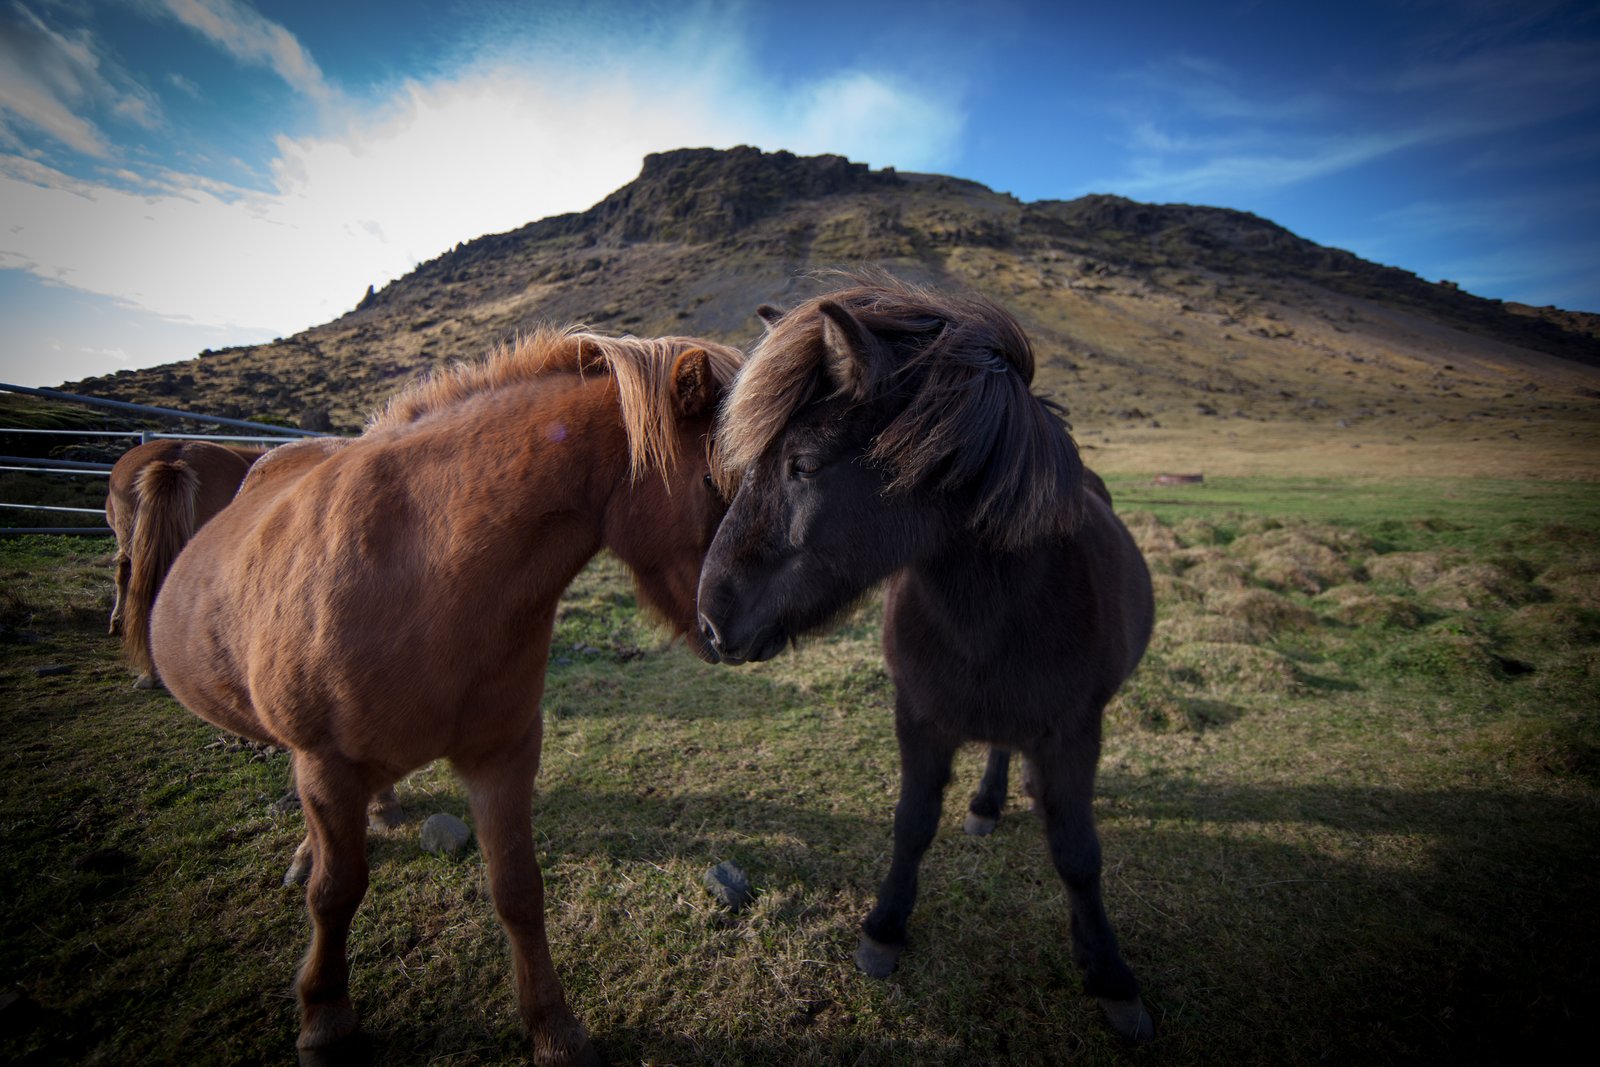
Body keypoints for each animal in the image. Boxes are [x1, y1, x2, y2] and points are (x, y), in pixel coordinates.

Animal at [150, 327, 742, 1065]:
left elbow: (518, 889)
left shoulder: (504, 756)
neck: (426, 571)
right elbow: (335, 893)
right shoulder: (326, 764)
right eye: (713, 480)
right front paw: (325, 1018)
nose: (739, 629)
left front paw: (553, 1027)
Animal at [695, 276, 1157, 1042]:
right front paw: (883, 930)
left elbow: (1078, 855)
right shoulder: (918, 718)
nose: (710, 617)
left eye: (803, 464)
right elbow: (911, 825)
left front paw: (1112, 977)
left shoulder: (1073, 733)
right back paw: (988, 803)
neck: (992, 611)